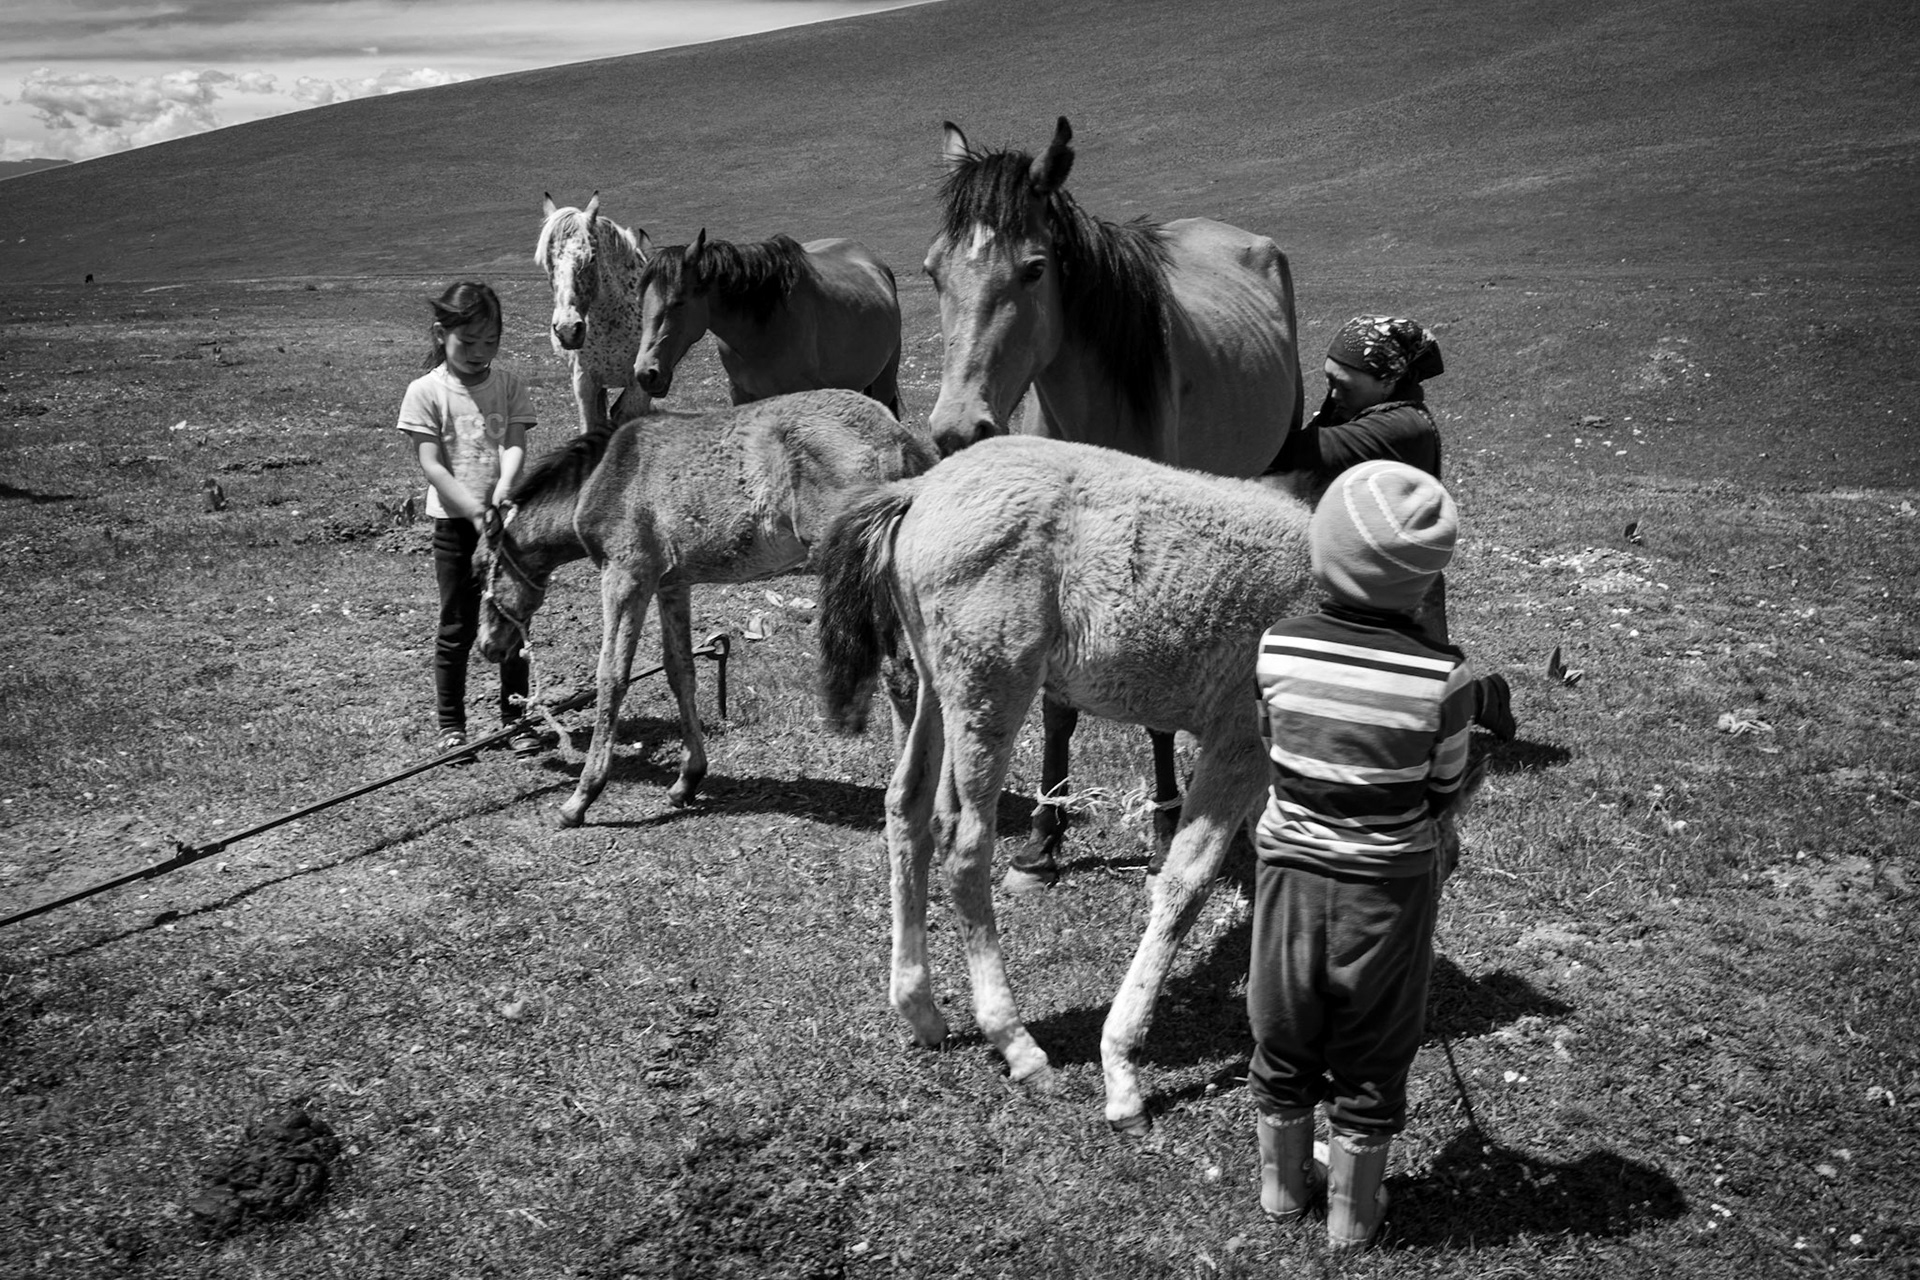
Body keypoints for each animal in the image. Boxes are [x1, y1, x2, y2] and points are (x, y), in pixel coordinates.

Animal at [477, 389, 936, 827]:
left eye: (480, 567)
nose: (488, 646)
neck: (607, 474)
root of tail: (897, 439)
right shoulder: (671, 584)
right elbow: (680, 670)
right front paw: (687, 780)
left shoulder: (626, 575)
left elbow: (611, 675)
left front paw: (580, 799)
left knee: (900, 675)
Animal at [815, 434, 1321, 1135]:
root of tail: (919, 489)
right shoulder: (1239, 740)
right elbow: (1186, 885)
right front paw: (1123, 1071)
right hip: (992, 685)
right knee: (963, 843)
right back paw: (1017, 1045)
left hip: (938, 686)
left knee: (906, 807)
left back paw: (921, 1010)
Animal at [922, 117, 1305, 889]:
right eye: (933, 271)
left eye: (1034, 268)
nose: (956, 429)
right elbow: (1056, 709)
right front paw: (1043, 842)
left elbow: (1160, 710)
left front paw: (1161, 832)